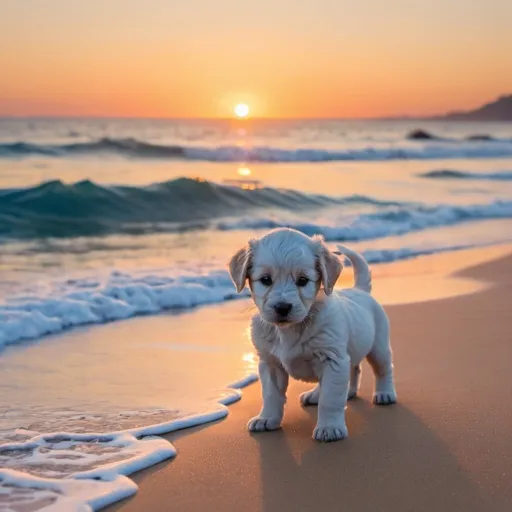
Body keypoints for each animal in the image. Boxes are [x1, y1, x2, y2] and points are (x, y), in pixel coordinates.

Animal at [229, 228, 400, 440]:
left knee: (383, 369)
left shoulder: (333, 359)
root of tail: (360, 290)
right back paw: (336, 393)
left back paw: (385, 393)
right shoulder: (270, 363)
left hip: (378, 347)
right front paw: (267, 418)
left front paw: (329, 428)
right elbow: (271, 395)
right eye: (265, 280)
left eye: (303, 280)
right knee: (353, 369)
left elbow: (330, 399)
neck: (290, 329)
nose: (282, 307)